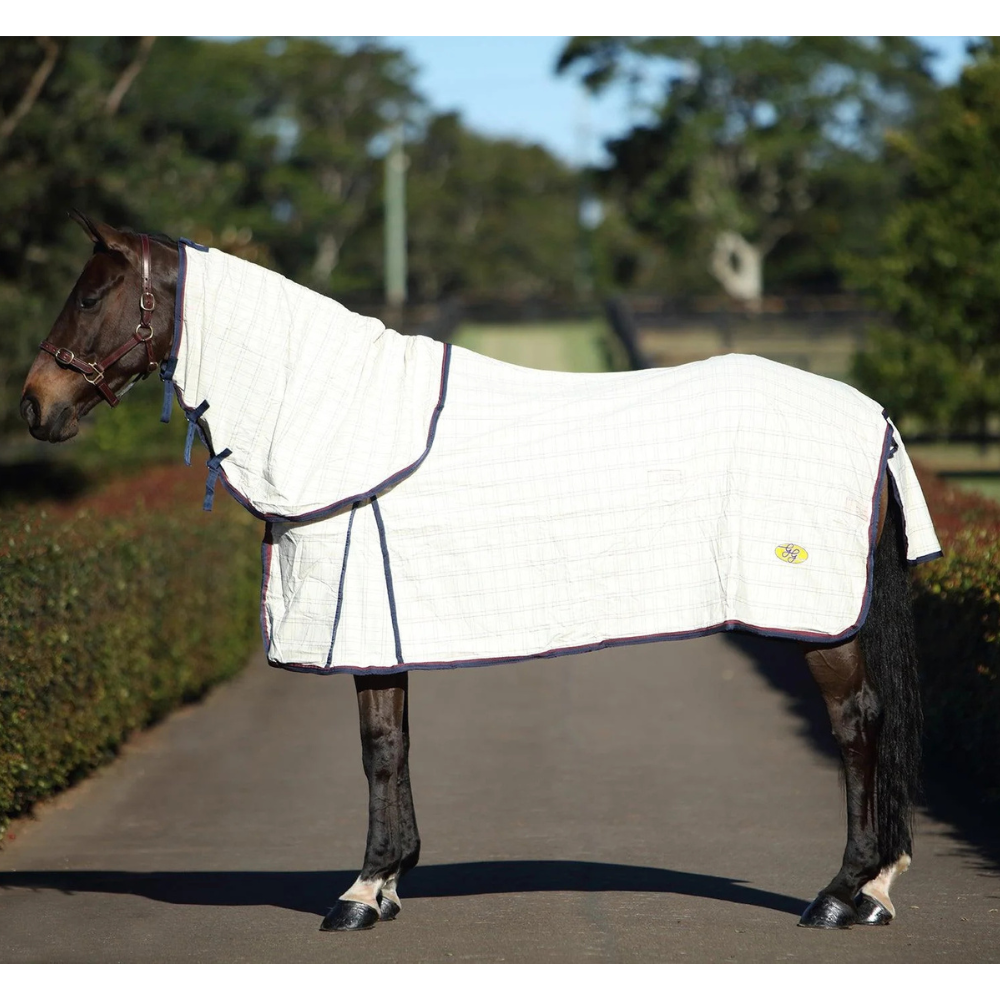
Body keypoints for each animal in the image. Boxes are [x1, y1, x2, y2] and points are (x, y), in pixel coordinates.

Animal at [21, 213, 936, 932]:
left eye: (92, 296)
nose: (36, 404)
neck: (337, 415)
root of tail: (875, 415)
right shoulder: (382, 631)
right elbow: (393, 740)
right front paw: (387, 880)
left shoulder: (361, 625)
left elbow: (378, 749)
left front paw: (360, 893)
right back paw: (876, 890)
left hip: (820, 619)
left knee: (856, 723)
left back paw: (841, 892)